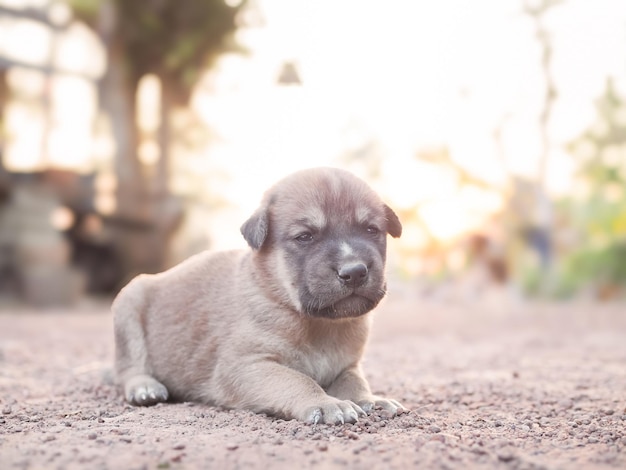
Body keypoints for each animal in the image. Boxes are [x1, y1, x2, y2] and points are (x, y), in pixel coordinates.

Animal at [112, 167, 404, 424]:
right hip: (130, 304)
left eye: (371, 230)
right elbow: (297, 380)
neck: (318, 324)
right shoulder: (246, 365)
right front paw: (325, 403)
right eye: (305, 237)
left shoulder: (348, 366)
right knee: (129, 367)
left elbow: (356, 382)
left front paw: (373, 400)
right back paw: (145, 387)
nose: (354, 271)